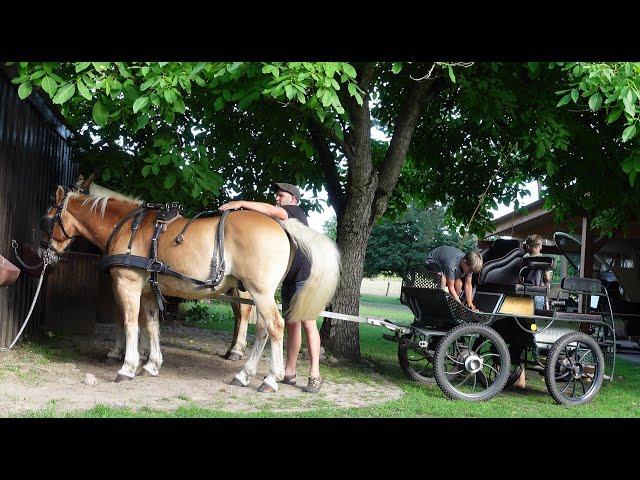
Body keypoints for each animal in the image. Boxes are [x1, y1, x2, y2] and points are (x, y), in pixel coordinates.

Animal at [39, 182, 340, 392]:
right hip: (257, 293)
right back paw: (244, 374)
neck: (127, 226)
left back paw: (270, 380)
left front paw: (127, 366)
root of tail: (282, 224)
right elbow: (151, 325)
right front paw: (152, 364)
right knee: (264, 329)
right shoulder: (149, 290)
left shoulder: (128, 284)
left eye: (47, 219)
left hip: (260, 291)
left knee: (275, 327)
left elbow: (130, 323)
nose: (45, 254)